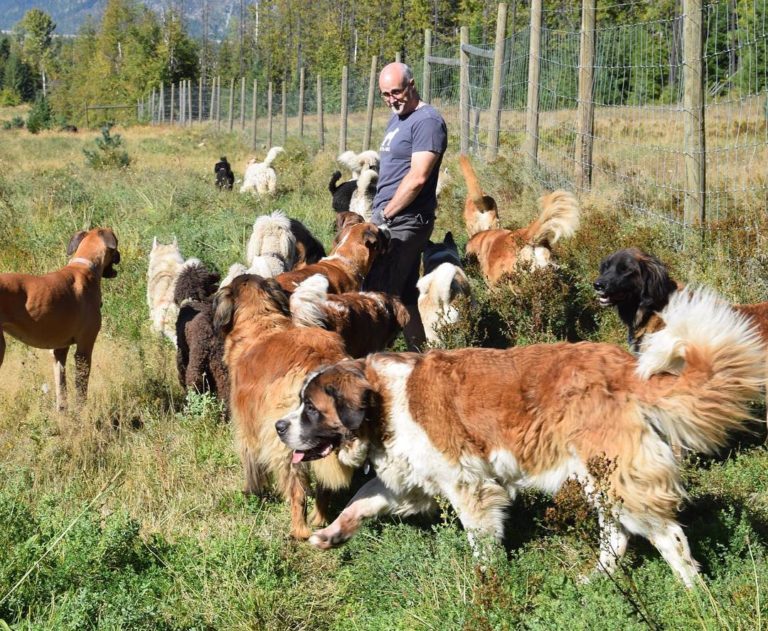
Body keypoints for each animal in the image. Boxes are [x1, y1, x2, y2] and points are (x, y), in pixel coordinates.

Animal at [0, 228, 120, 411]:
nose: (119, 255)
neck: (84, 267)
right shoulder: (84, 349)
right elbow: (81, 390)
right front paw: (81, 413)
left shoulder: (59, 350)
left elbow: (61, 388)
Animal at [212, 274, 355, 539]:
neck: (261, 320)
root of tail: (320, 362)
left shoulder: (247, 427)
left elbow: (251, 463)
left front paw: (252, 492)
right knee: (324, 485)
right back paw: (320, 519)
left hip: (286, 438)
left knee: (297, 490)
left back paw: (299, 530)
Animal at [275, 286, 765, 587]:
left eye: (311, 409)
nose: (280, 427)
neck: (383, 402)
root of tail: (627, 368)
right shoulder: (410, 481)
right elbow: (363, 500)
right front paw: (330, 534)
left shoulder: (468, 486)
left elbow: (481, 541)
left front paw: (486, 586)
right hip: (600, 478)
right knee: (618, 536)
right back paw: (595, 581)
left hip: (619, 478)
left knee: (668, 536)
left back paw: (693, 590)